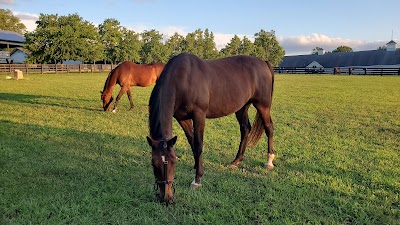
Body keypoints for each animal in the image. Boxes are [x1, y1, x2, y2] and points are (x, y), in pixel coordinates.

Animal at [147, 52, 276, 204]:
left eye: (174, 161)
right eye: (153, 164)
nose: (166, 198)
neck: (183, 78)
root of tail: (264, 62)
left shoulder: (199, 115)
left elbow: (198, 145)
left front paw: (197, 180)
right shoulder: (182, 118)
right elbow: (192, 141)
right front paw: (196, 166)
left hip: (263, 105)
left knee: (269, 128)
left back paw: (269, 161)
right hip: (242, 107)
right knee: (245, 129)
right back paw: (236, 161)